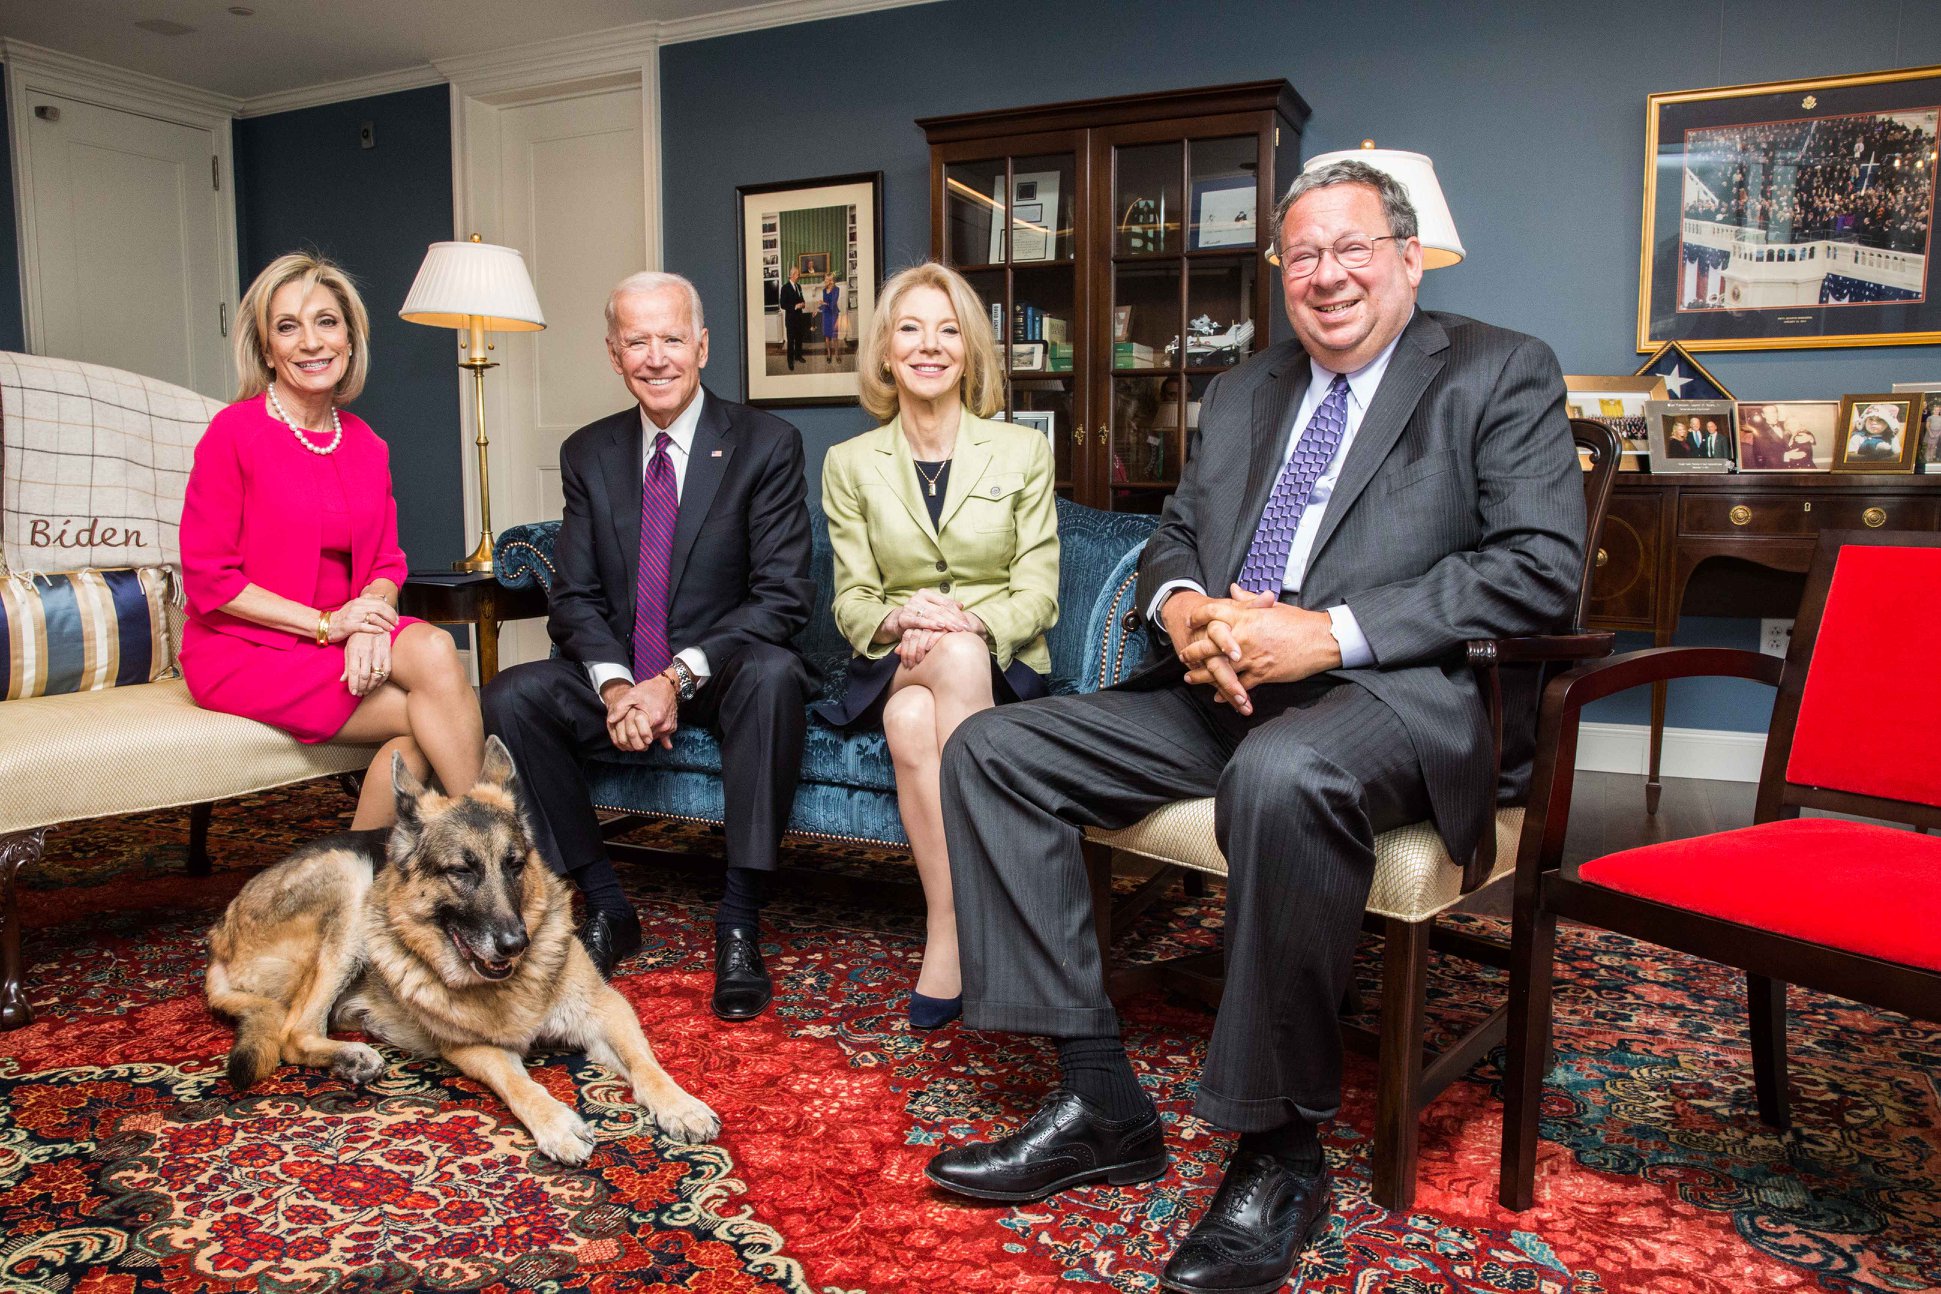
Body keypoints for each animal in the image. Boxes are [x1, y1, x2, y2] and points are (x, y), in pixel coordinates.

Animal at [204, 737, 722, 1164]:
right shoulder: (474, 1049)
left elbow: (646, 1063)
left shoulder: (606, 1010)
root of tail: (219, 934)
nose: (515, 943)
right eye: (461, 871)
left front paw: (680, 1104)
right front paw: (556, 1124)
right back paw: (352, 1056)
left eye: (514, 865)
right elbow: (520, 1084)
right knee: (293, 1032)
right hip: (350, 879)